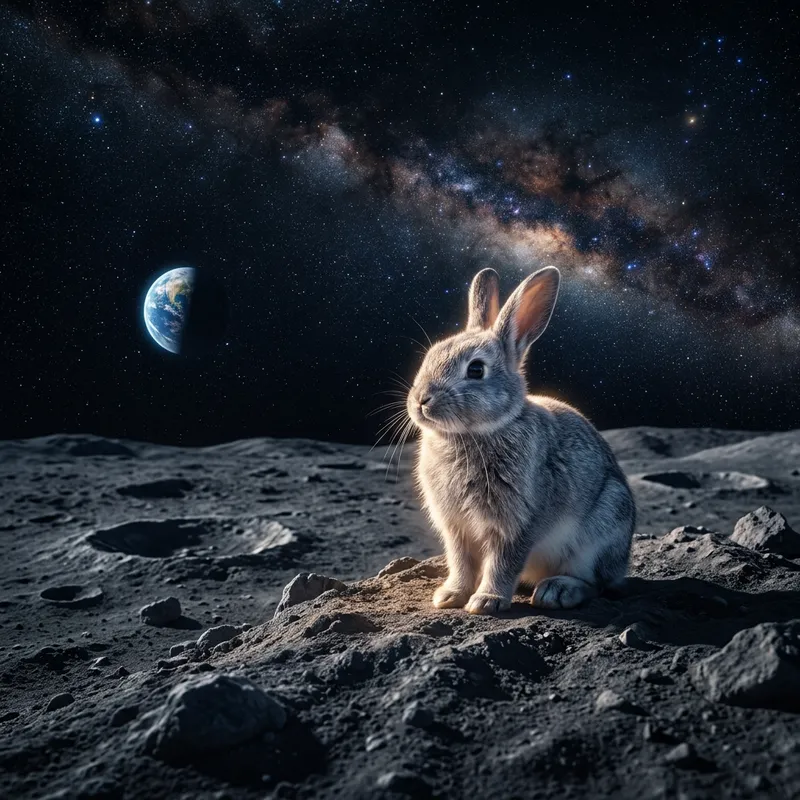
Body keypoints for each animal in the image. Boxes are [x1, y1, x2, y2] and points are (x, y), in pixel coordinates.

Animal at [406, 266, 635, 615]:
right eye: (430, 356)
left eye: (476, 370)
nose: (421, 400)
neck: (473, 434)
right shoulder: (456, 527)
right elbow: (461, 562)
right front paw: (449, 595)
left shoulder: (518, 522)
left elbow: (503, 563)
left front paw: (486, 601)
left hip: (604, 528)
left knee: (597, 584)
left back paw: (558, 591)